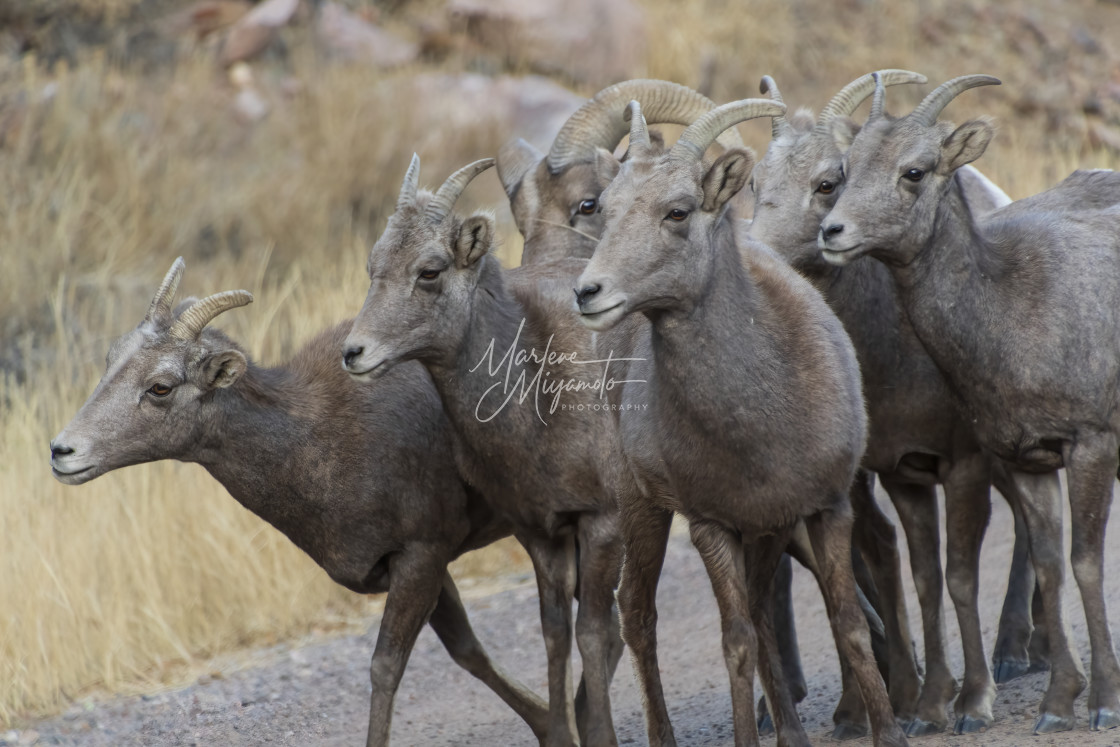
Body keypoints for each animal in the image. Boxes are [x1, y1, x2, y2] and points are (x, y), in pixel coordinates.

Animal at [52, 258, 551, 747]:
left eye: (161, 387)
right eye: (112, 359)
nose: (62, 451)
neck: (318, 440)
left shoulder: (421, 557)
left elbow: (386, 669)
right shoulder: (421, 568)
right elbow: (469, 653)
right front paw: (551, 723)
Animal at [340, 159, 636, 747]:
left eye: (429, 271)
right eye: (373, 267)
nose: (354, 353)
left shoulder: (604, 523)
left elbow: (592, 635)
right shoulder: (539, 533)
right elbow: (555, 635)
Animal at [748, 69, 1043, 734]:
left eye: (826, 183)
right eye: (754, 183)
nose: (758, 253)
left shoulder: (962, 464)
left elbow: (955, 576)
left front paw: (968, 703)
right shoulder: (886, 471)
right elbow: (899, 570)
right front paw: (906, 704)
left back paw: (1021, 654)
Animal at [815, 72, 1120, 734]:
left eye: (915, 171)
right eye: (843, 172)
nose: (833, 233)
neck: (1014, 307)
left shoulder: (1090, 447)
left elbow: (1086, 563)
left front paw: (1105, 702)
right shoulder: (1028, 459)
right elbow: (1050, 565)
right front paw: (1057, 705)